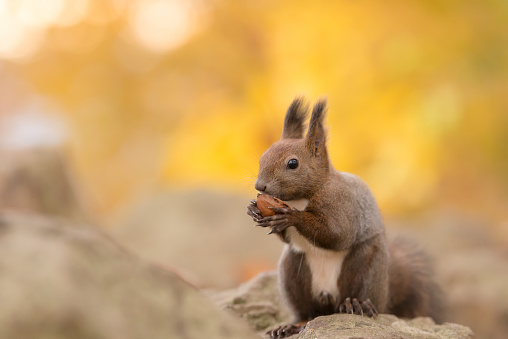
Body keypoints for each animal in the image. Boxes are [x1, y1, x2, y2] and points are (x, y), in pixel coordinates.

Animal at [248, 97, 442, 338]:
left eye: (292, 163)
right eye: (263, 156)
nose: (260, 186)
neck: (302, 197)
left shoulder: (343, 206)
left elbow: (336, 235)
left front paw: (291, 217)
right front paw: (254, 210)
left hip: (366, 268)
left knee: (359, 296)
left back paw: (357, 304)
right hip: (293, 273)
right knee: (308, 313)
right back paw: (290, 327)